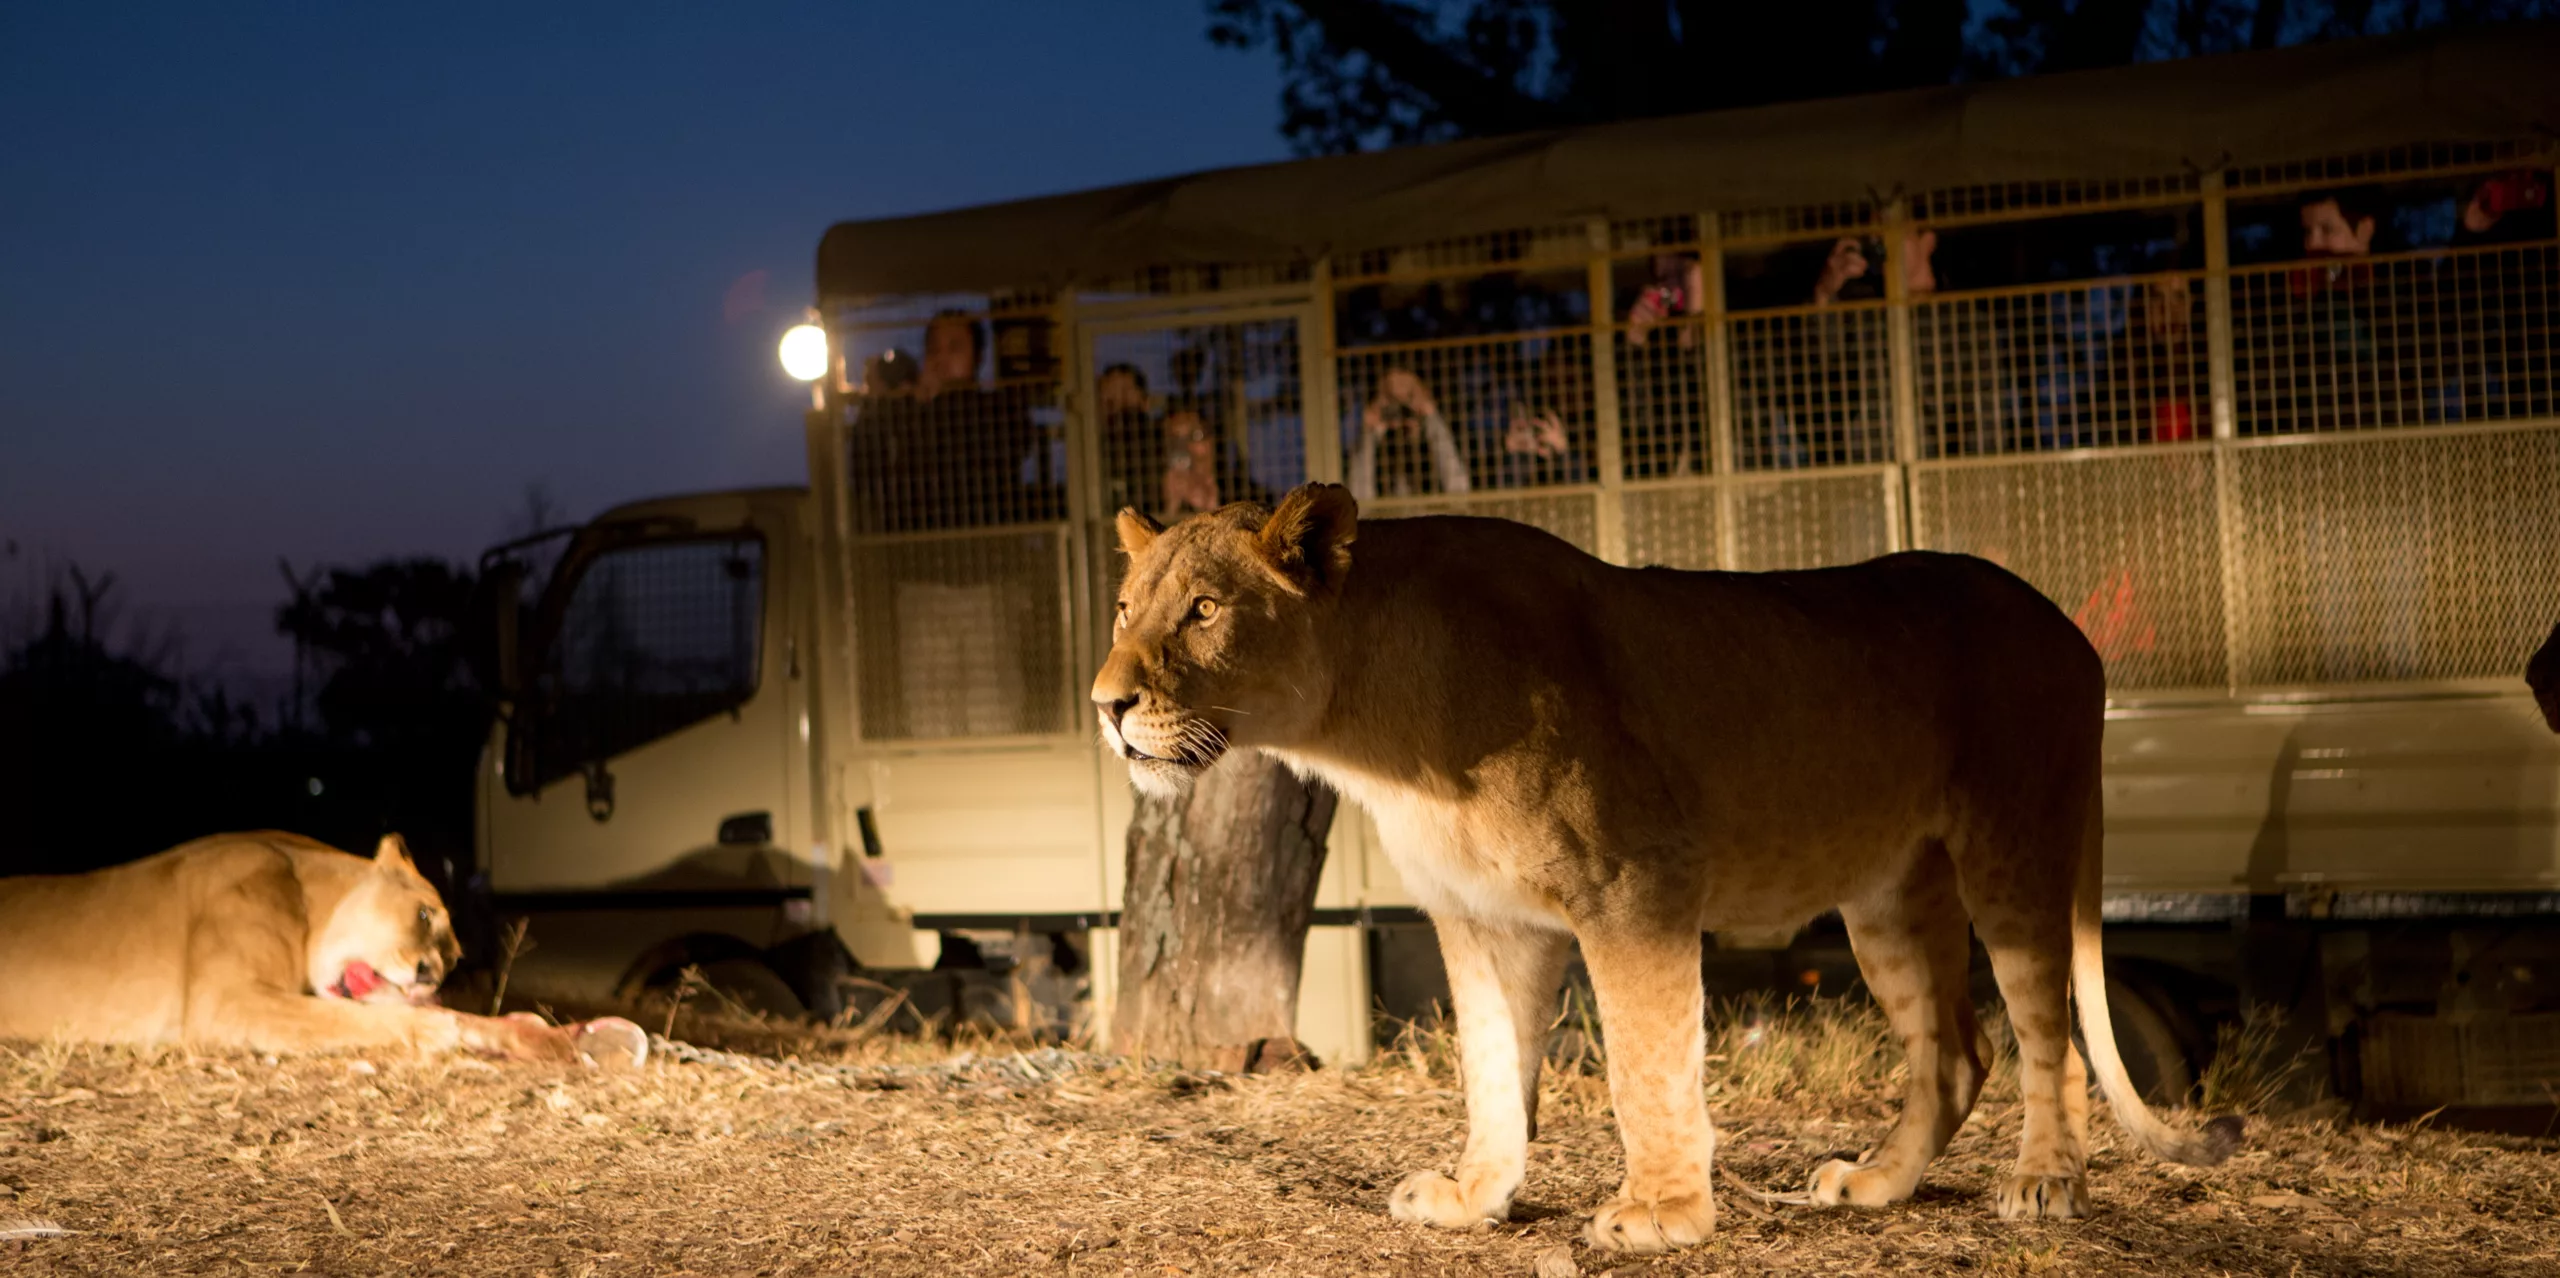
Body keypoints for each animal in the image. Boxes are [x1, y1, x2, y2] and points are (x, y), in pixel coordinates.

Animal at [0, 831, 642, 1066]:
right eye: (424, 914)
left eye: (455, 957)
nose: (432, 973)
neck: (305, 889)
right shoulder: (226, 1000)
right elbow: (368, 1021)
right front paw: (442, 1030)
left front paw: (551, 1035)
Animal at [1092, 485, 2241, 1254]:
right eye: (1123, 609)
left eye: (1203, 610)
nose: (1106, 704)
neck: (1372, 730)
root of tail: (2068, 626)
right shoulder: (1478, 916)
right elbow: (1490, 1066)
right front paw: (1477, 1197)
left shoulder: (1636, 886)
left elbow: (1648, 1062)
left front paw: (1662, 1215)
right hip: (1887, 894)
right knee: (1957, 1050)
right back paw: (1875, 1185)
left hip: (2014, 847)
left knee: (2047, 1033)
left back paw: (2046, 1183)